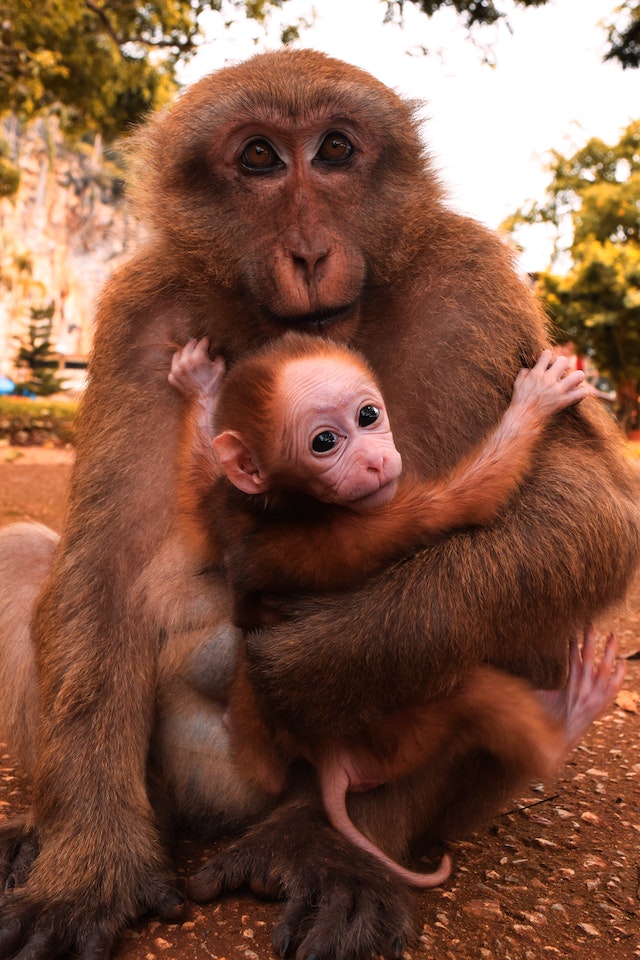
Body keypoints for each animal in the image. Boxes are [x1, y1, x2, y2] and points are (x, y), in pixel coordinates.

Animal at [169, 330, 620, 884]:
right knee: (477, 695)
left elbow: (200, 496)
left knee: (266, 770)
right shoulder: (364, 520)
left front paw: (199, 385)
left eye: (368, 415)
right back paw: (567, 720)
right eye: (324, 442)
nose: (375, 460)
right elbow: (470, 502)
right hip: (401, 738)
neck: (287, 502)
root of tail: (331, 763)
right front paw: (536, 401)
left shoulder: (228, 505)